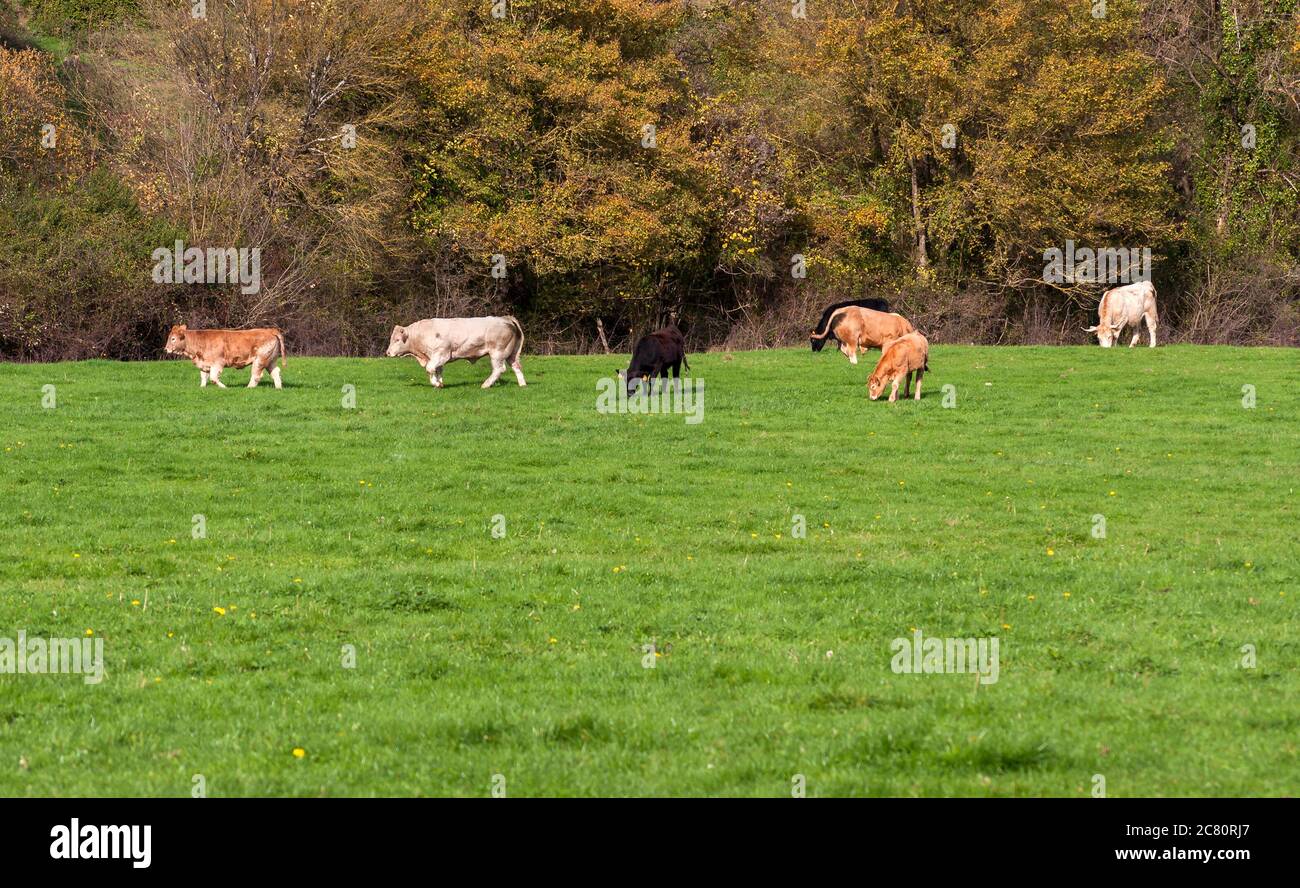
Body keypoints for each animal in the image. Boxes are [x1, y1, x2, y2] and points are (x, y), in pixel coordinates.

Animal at [382, 317, 525, 390]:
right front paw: (439, 383)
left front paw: (436, 383)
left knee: (499, 369)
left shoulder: (441, 354)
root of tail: (506, 319)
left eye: (397, 339)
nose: (388, 352)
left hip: (497, 352)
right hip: (511, 353)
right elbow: (437, 370)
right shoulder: (435, 357)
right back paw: (522, 385)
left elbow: (430, 368)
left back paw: (485, 385)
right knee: (516, 367)